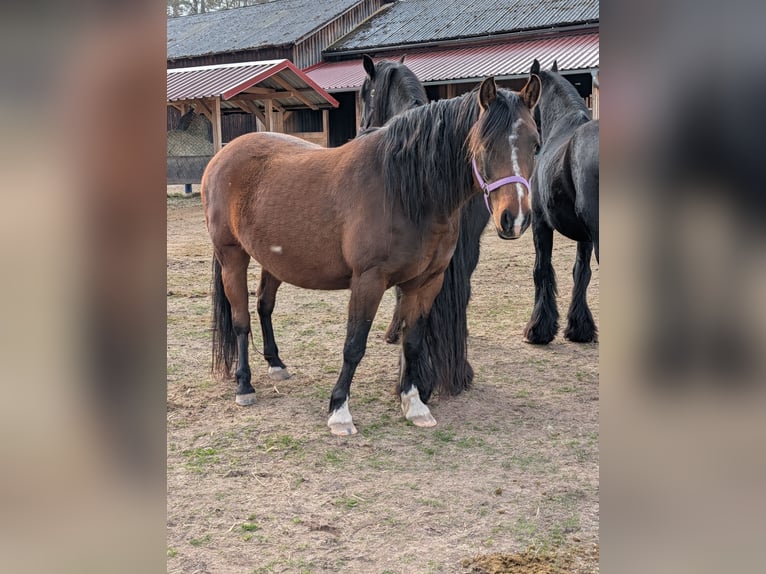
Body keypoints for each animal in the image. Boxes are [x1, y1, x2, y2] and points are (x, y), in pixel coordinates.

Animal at [522, 59, 599, 345]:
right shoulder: (585, 238)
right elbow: (581, 273)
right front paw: (580, 328)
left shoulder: (540, 224)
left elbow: (541, 270)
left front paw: (538, 329)